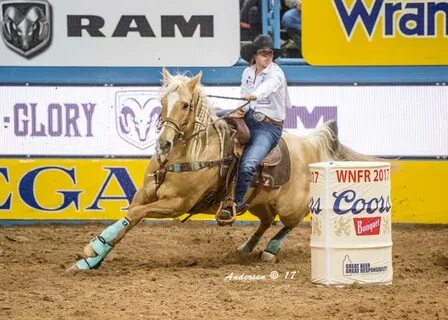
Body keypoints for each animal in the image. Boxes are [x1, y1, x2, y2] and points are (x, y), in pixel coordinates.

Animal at [67, 69, 374, 272]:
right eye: (163, 102)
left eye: (185, 104)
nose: (164, 143)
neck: (191, 151)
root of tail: (308, 143)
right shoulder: (145, 193)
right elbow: (129, 218)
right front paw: (90, 259)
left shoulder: (177, 204)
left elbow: (135, 215)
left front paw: (93, 250)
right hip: (256, 201)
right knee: (267, 220)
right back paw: (245, 249)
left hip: (291, 205)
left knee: (290, 222)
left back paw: (270, 251)